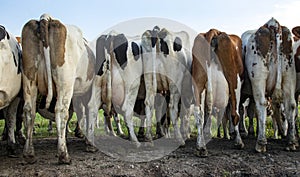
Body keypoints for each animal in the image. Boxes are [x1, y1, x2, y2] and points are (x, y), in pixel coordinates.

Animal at [21, 14, 98, 165]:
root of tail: (47, 18)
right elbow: (89, 111)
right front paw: (90, 143)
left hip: (29, 78)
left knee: (29, 111)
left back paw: (29, 154)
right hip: (65, 81)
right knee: (61, 111)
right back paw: (63, 155)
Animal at [193, 28, 245, 156]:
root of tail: (214, 31)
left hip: (198, 83)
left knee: (199, 113)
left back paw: (201, 146)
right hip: (234, 81)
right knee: (235, 114)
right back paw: (239, 141)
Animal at [244, 17, 298, 151]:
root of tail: (272, 24)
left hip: (258, 77)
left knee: (261, 104)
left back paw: (261, 142)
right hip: (289, 75)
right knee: (291, 105)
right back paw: (291, 141)